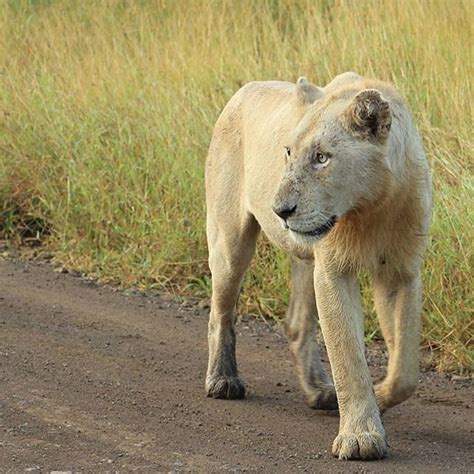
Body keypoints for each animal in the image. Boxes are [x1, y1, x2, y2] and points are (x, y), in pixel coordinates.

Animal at [204, 72, 434, 462]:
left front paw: (380, 396)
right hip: (229, 240)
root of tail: (244, 89)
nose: (280, 210)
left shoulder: (400, 271)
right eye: (288, 152)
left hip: (305, 260)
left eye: (322, 157)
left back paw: (320, 392)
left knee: (297, 324)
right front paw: (361, 436)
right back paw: (223, 381)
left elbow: (405, 369)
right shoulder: (333, 270)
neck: (372, 206)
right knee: (221, 312)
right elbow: (347, 354)